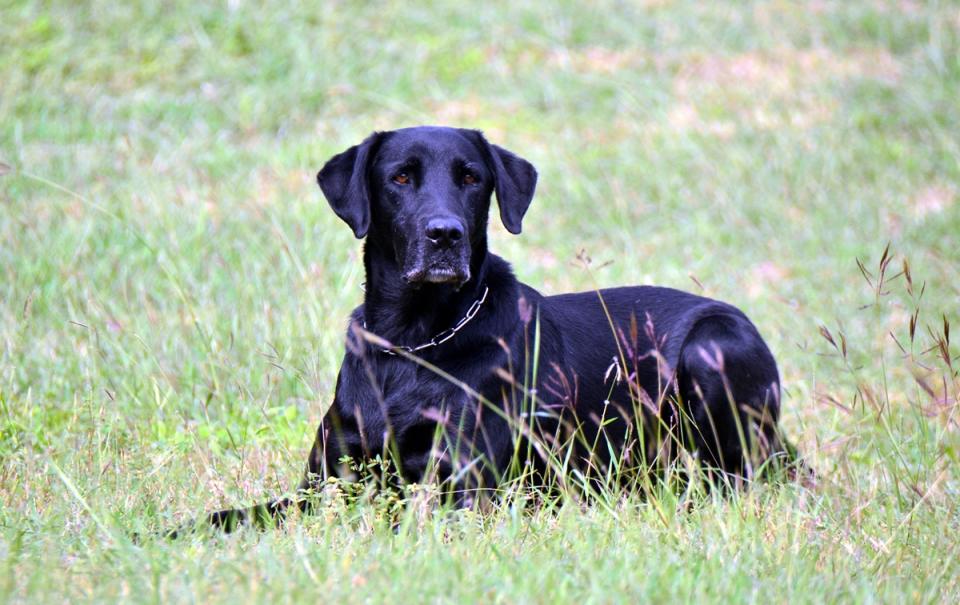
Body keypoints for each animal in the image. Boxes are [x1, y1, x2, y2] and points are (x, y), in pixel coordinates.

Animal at [193, 125, 788, 532]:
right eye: (400, 177)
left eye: (471, 177)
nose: (445, 235)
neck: (413, 343)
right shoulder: (322, 486)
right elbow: (229, 516)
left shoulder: (465, 485)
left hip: (712, 347)